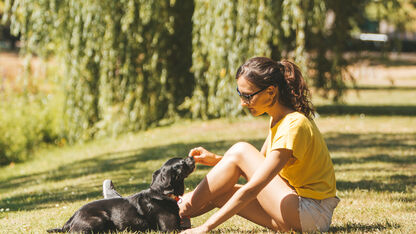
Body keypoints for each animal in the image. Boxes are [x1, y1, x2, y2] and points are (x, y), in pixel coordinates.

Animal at [47, 156, 195, 233]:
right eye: (182, 162)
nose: (192, 156)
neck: (161, 194)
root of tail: (70, 220)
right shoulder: (170, 229)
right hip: (99, 218)